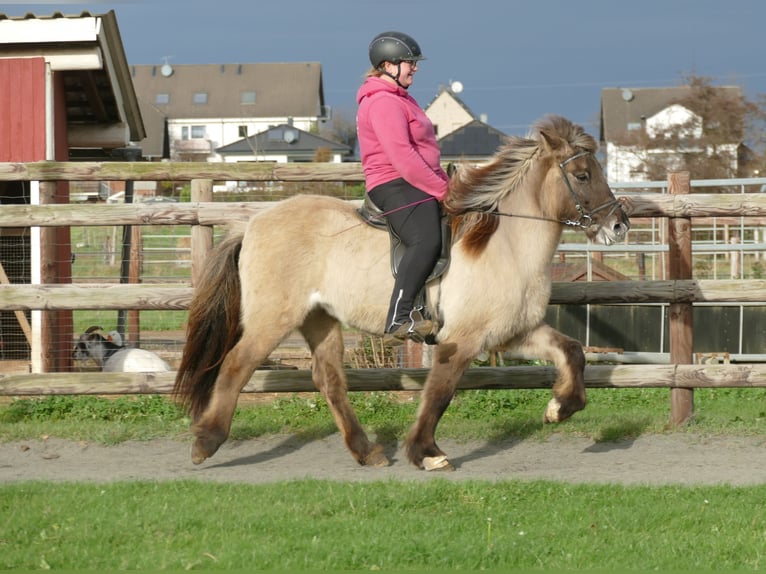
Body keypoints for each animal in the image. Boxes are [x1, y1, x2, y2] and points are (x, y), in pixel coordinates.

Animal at [174, 113, 632, 472]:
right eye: (582, 175)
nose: (618, 226)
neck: (507, 243)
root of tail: (252, 223)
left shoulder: (511, 332)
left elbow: (572, 351)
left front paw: (560, 407)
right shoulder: (462, 339)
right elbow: (440, 392)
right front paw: (426, 452)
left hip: (319, 318)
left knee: (329, 380)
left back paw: (367, 452)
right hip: (273, 317)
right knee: (237, 365)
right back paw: (206, 442)